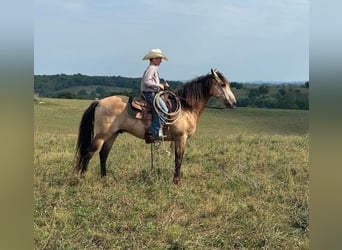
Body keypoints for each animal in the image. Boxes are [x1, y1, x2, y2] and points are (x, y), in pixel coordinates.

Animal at [74, 69, 236, 185]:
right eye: (222, 84)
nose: (233, 103)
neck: (186, 107)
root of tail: (99, 102)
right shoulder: (181, 138)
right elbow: (178, 159)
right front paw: (176, 182)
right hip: (101, 135)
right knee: (89, 153)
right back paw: (82, 179)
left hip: (112, 134)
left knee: (103, 154)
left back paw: (104, 179)